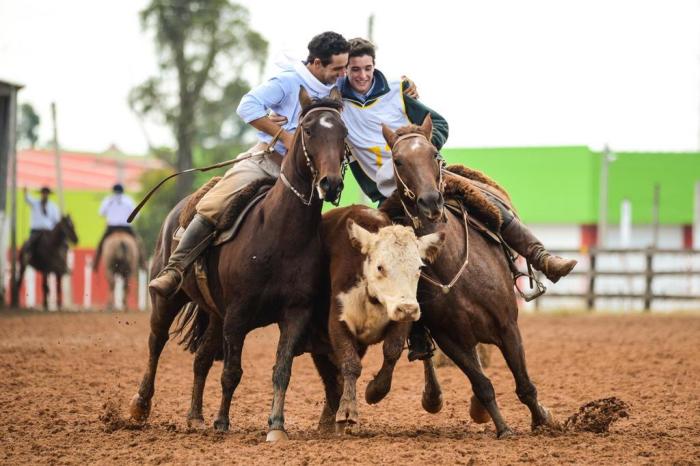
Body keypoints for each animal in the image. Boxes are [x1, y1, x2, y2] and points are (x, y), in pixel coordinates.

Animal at [129, 87, 348, 440]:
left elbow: (282, 369)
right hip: (168, 299)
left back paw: (195, 416)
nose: (330, 183)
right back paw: (140, 405)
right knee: (156, 342)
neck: (280, 233)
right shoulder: (237, 313)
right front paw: (222, 422)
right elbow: (232, 371)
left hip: (214, 314)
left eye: (343, 133)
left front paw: (276, 426)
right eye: (308, 130)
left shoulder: (294, 313)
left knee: (202, 358)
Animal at [320, 206, 446, 432]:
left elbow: (392, 350)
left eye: (419, 268)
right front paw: (347, 412)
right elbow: (350, 363)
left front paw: (374, 390)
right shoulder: (337, 321)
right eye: (380, 267)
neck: (372, 296)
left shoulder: (401, 319)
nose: (408, 308)